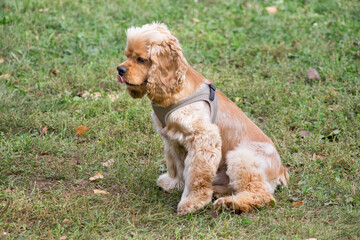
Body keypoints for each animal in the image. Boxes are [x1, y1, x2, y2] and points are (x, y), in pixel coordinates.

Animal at [116, 22, 288, 215]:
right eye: (127, 55)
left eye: (140, 59)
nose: (119, 69)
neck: (175, 92)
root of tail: (282, 170)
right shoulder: (172, 140)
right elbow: (177, 166)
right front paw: (173, 184)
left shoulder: (203, 138)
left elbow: (196, 174)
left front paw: (192, 202)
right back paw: (218, 192)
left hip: (241, 157)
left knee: (261, 194)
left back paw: (229, 203)